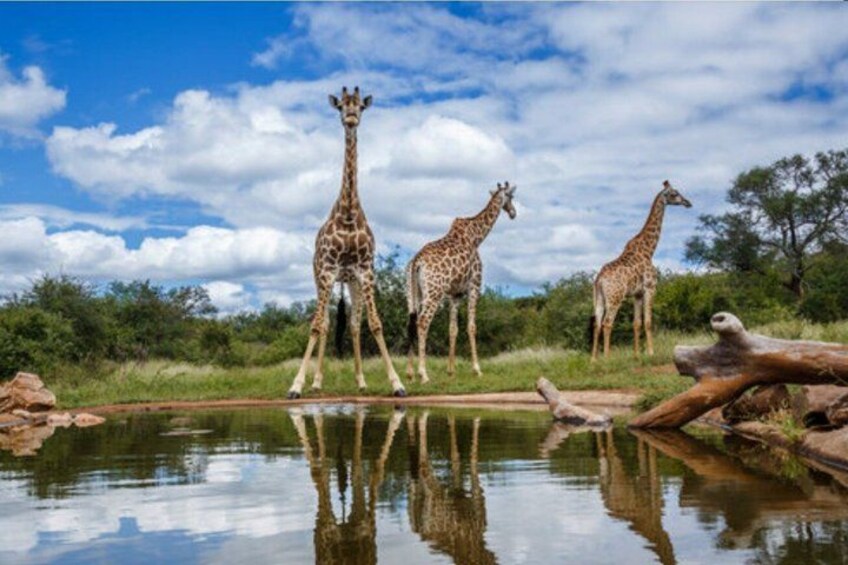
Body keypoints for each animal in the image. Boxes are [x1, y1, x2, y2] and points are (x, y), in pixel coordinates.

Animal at [287, 86, 405, 399]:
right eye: (341, 105)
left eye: (360, 106)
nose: (350, 117)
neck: (349, 214)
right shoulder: (328, 271)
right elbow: (316, 325)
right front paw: (296, 385)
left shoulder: (366, 271)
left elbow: (374, 324)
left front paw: (397, 383)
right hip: (320, 277)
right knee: (327, 324)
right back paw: (316, 382)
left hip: (350, 281)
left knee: (352, 324)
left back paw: (360, 381)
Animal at [405, 182, 517, 383]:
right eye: (511, 196)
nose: (513, 213)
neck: (477, 237)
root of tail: (417, 261)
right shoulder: (474, 286)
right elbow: (471, 327)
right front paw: (477, 369)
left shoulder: (454, 294)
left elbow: (453, 329)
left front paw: (451, 372)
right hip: (434, 293)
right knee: (423, 322)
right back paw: (423, 374)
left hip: (413, 292)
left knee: (411, 322)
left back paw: (409, 373)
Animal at [591, 180, 691, 360]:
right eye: (674, 193)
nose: (688, 203)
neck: (649, 250)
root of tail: (600, 279)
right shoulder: (650, 288)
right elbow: (648, 322)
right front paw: (651, 353)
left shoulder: (637, 294)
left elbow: (636, 323)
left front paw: (637, 355)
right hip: (615, 298)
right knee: (607, 323)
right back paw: (607, 358)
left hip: (599, 298)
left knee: (597, 324)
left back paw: (593, 359)